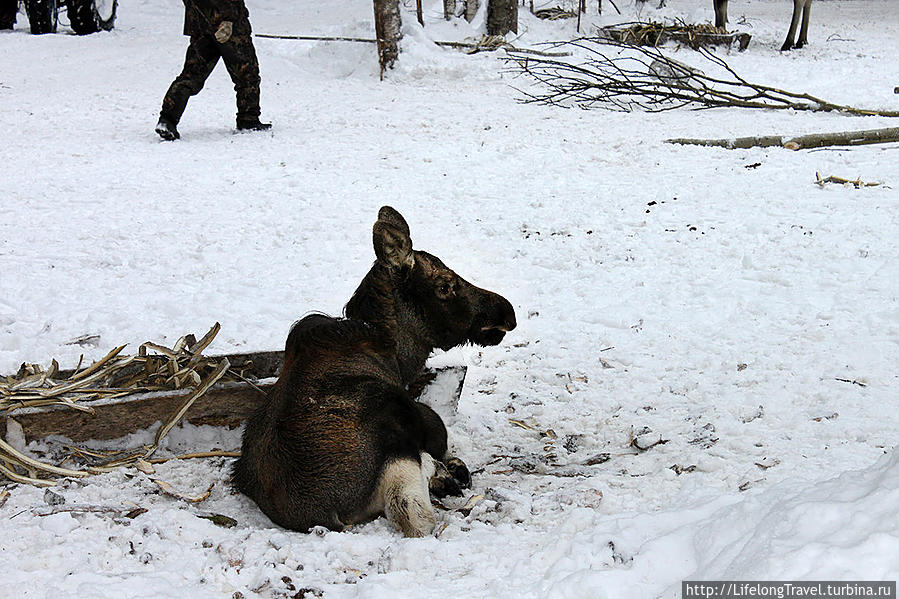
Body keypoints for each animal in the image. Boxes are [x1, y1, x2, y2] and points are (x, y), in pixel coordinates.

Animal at [232, 206, 516, 540]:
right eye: (444, 286)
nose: (506, 312)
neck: (396, 354)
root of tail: (326, 517)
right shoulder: (421, 415)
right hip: (396, 437)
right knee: (413, 513)